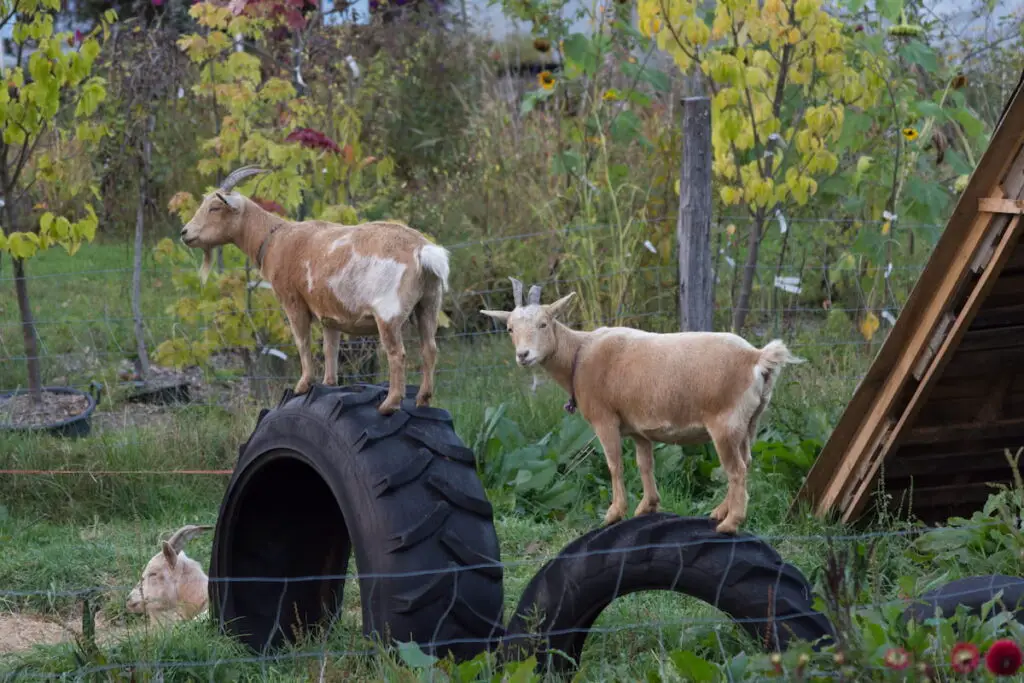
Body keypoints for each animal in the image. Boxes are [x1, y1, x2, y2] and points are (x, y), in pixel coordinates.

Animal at [179, 163, 448, 417]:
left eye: (215, 207)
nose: (184, 233)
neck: (276, 238)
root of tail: (422, 250)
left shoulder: (293, 300)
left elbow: (302, 341)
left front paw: (303, 385)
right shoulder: (330, 313)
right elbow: (330, 348)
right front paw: (329, 383)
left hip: (388, 312)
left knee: (397, 353)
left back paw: (390, 404)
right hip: (429, 303)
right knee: (429, 349)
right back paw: (423, 399)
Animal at [483, 278, 802, 532]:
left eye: (544, 323)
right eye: (509, 328)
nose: (524, 355)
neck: (578, 355)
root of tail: (756, 357)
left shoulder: (605, 419)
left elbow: (614, 464)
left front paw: (614, 513)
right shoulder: (638, 428)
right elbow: (644, 464)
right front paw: (647, 506)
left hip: (725, 423)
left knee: (736, 470)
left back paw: (730, 523)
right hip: (750, 421)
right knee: (746, 462)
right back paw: (719, 512)